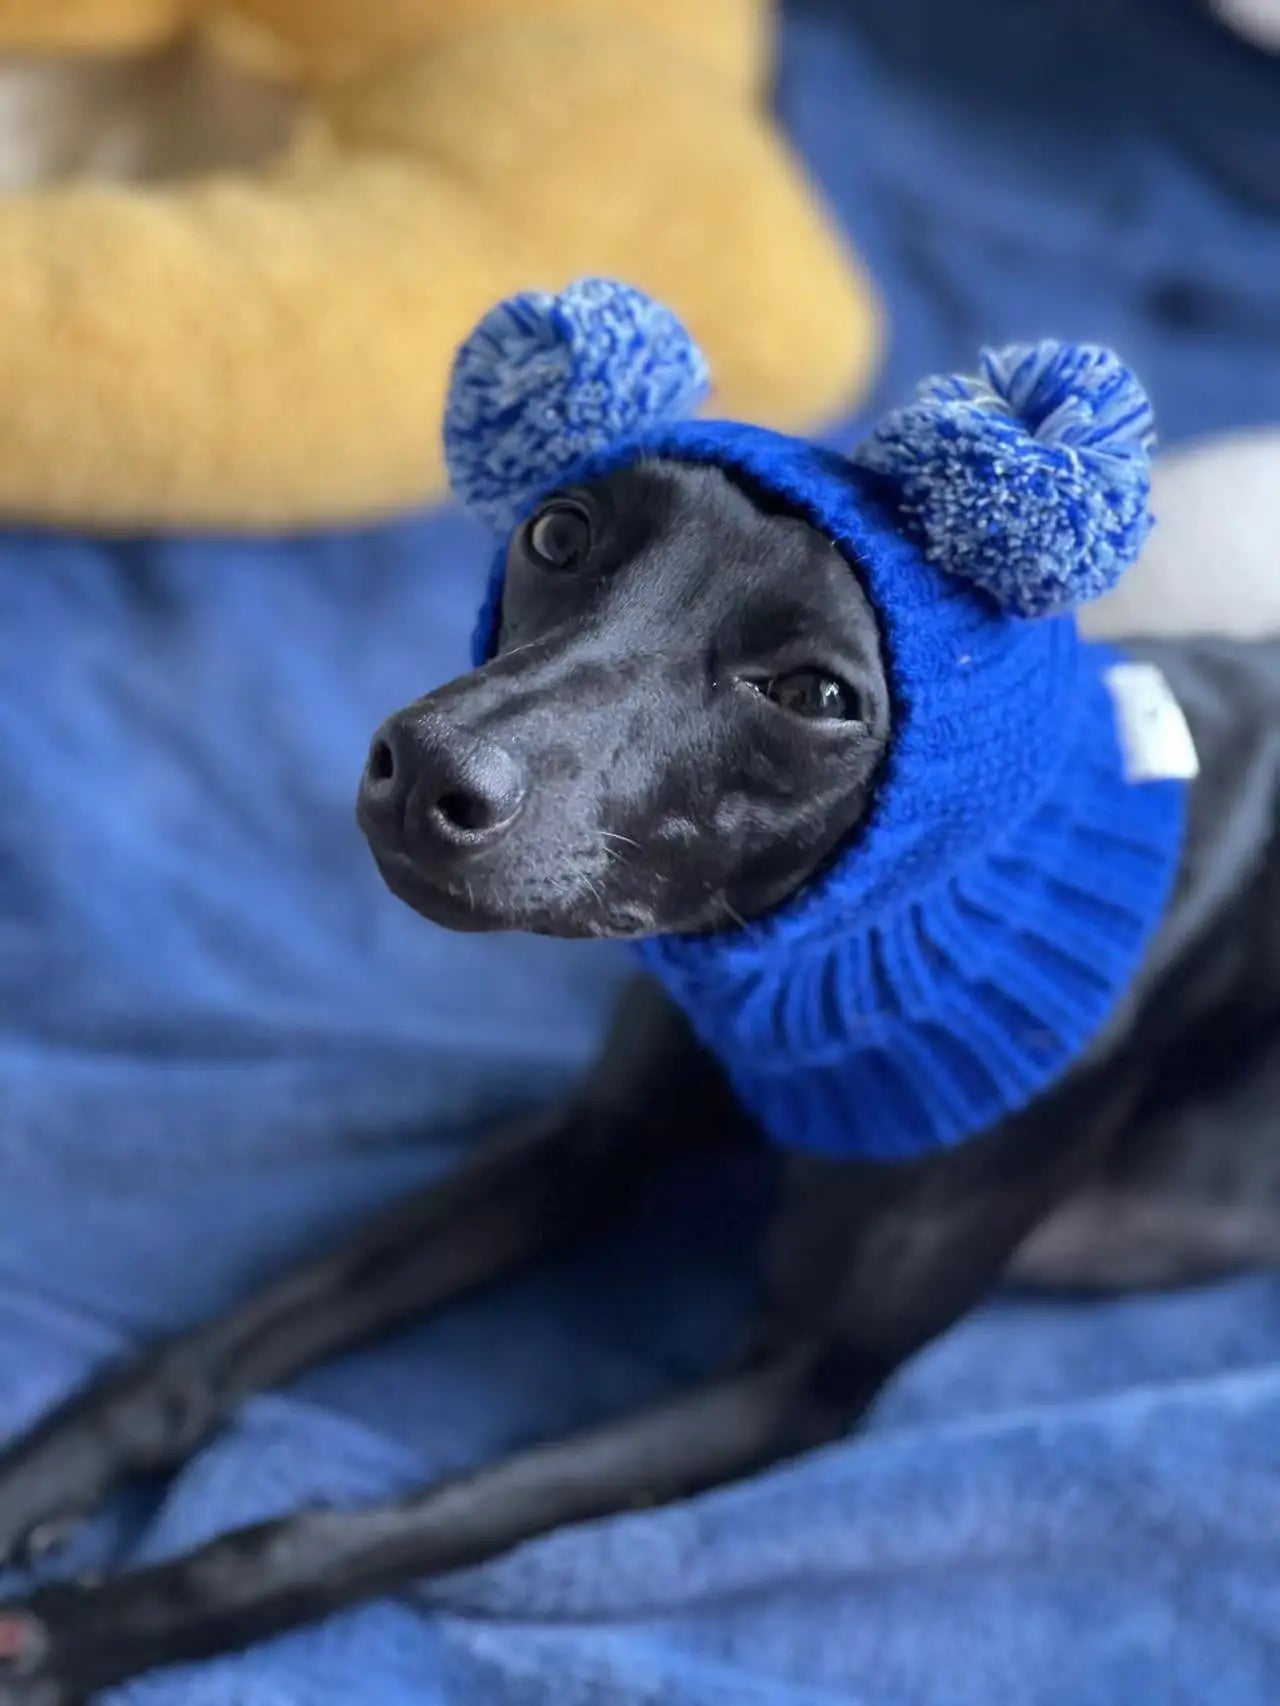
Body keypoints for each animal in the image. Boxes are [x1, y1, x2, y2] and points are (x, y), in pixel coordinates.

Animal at [2, 460, 1280, 1699]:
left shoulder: (791, 1391)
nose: (424, 770)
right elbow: (215, 1345)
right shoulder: (586, 1145)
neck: (813, 955)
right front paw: (39, 1476)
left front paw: (80, 1631)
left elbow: (346, 1537)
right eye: (558, 532)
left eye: (815, 694)